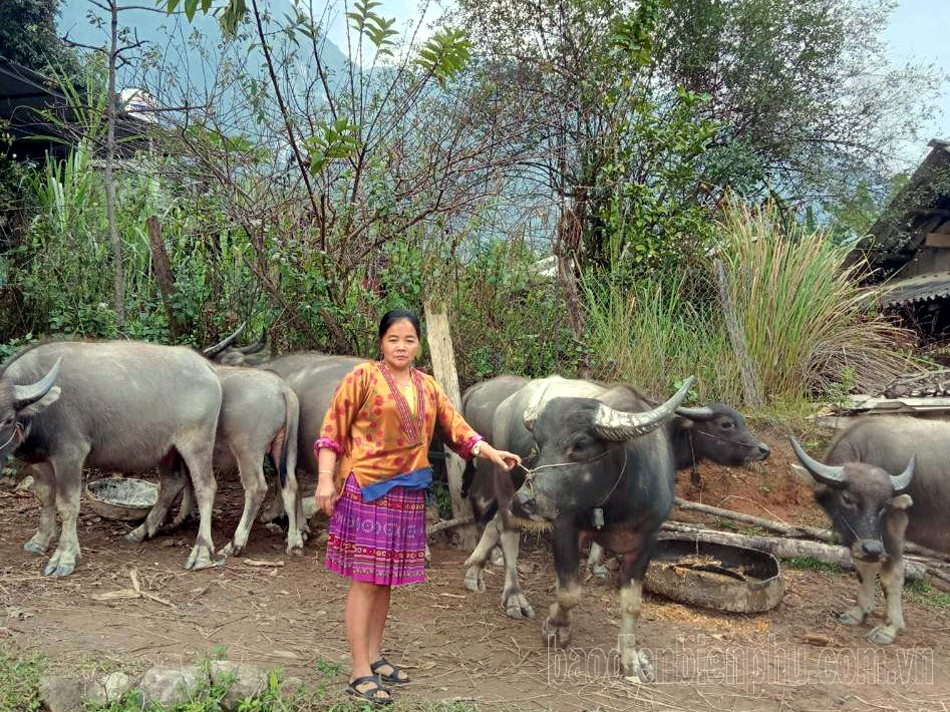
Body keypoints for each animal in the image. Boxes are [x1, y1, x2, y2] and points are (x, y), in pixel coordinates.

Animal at [4, 342, 223, 576]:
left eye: (7, 419)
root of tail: (207, 366)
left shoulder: (70, 455)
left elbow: (67, 505)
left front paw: (64, 556)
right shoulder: (40, 460)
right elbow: (45, 498)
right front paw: (40, 541)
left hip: (197, 443)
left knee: (205, 488)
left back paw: (201, 552)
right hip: (166, 449)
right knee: (172, 483)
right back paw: (141, 531)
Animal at [462, 376, 700, 680]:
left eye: (580, 444)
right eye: (537, 444)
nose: (525, 500)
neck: (616, 501)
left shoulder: (647, 541)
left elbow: (632, 604)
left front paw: (632, 660)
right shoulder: (565, 527)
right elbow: (569, 591)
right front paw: (556, 626)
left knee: (495, 524)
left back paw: (474, 570)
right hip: (503, 484)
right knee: (507, 533)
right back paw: (514, 597)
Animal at [788, 414, 950, 644]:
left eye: (885, 505)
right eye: (847, 498)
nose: (872, 549)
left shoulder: (892, 531)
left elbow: (891, 577)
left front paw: (888, 628)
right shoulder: (859, 539)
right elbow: (863, 568)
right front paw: (859, 612)